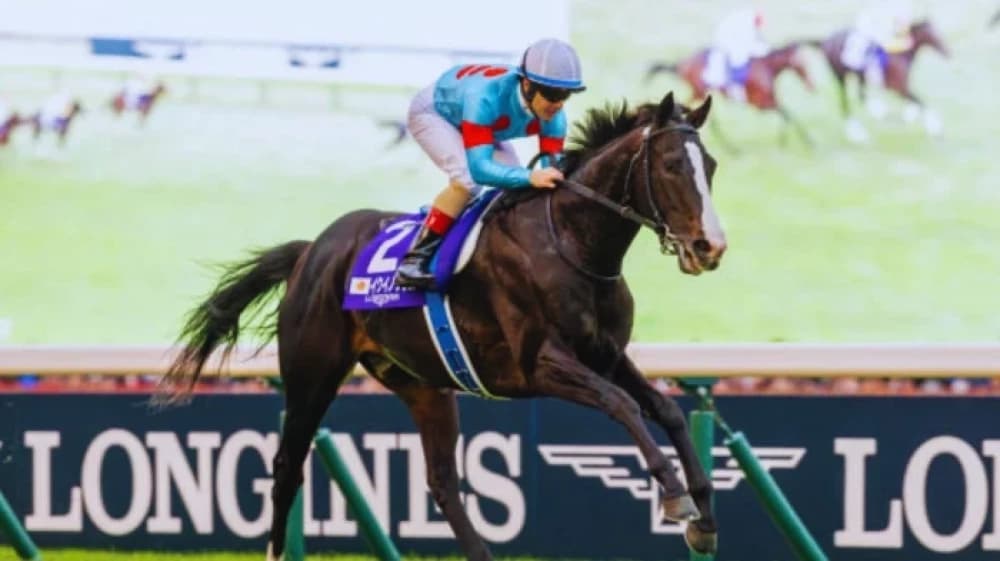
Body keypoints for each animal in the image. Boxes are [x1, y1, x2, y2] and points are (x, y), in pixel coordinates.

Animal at [160, 91, 726, 561]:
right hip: (310, 375)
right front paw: (675, 497)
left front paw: (704, 517)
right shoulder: (542, 364)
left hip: (424, 387)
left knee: (441, 482)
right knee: (286, 467)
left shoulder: (606, 355)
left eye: (711, 166)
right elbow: (623, 404)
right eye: (672, 165)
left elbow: (667, 411)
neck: (571, 242)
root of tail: (311, 252)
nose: (710, 247)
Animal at [646, 41, 815, 149]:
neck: (767, 68)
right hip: (698, 90)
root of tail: (681, 63)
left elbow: (787, 114)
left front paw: (785, 140)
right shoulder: (761, 103)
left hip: (699, 92)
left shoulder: (770, 100)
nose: (811, 86)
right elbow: (788, 114)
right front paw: (807, 142)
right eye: (802, 65)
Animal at [811, 20, 949, 140]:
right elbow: (921, 102)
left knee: (861, 95)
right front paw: (936, 130)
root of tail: (825, 41)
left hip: (859, 76)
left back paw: (877, 112)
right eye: (934, 35)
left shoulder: (903, 89)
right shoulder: (899, 89)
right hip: (840, 76)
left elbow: (917, 103)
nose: (949, 52)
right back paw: (857, 133)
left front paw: (909, 116)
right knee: (845, 103)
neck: (902, 54)